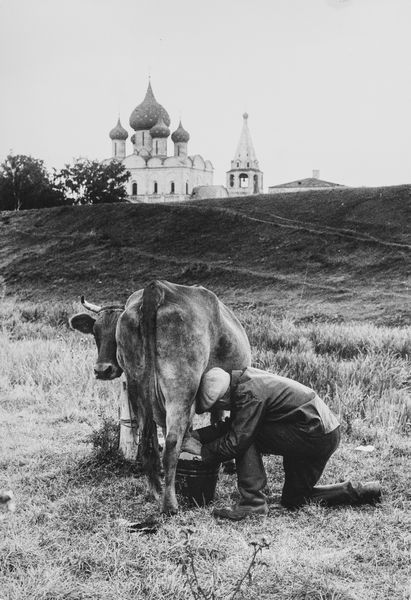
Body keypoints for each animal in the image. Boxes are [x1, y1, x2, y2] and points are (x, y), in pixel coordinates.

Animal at [70, 284, 251, 512]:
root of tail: (156, 288)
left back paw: (155, 492)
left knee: (149, 441)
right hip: (180, 387)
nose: (102, 370)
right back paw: (170, 504)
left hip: (137, 387)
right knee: (172, 443)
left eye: (110, 336)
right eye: (95, 332)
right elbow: (219, 422)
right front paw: (229, 464)